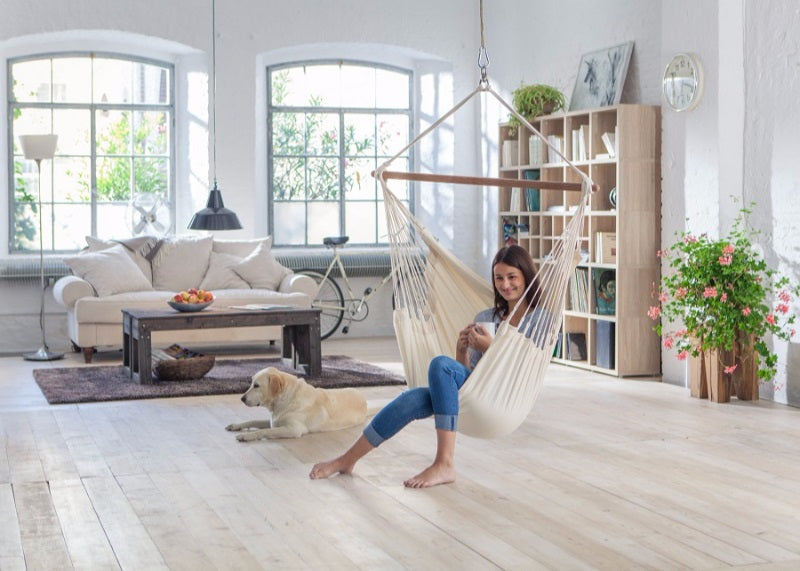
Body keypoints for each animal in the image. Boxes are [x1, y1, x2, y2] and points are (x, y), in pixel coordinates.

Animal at [225, 366, 368, 442]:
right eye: (251, 383)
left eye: (256, 386)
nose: (242, 398)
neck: (285, 399)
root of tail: (364, 401)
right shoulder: (274, 421)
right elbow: (253, 421)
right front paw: (236, 426)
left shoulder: (294, 429)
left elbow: (264, 431)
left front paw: (246, 435)